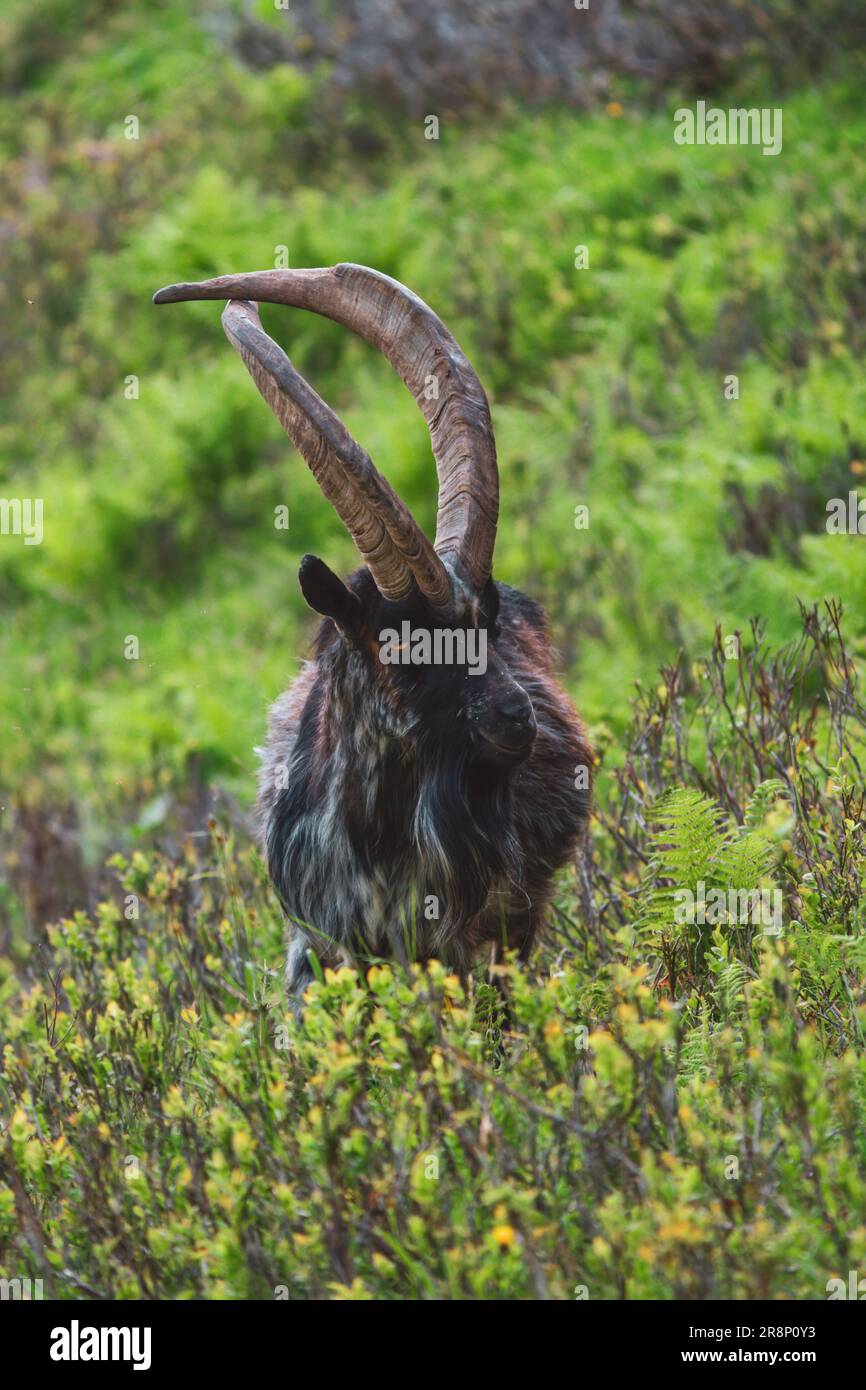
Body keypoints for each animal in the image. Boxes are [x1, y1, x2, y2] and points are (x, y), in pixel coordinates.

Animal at [152, 262, 592, 1000]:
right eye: (404, 644)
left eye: (486, 624)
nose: (518, 718)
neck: (379, 844)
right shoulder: (317, 949)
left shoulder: (467, 943)